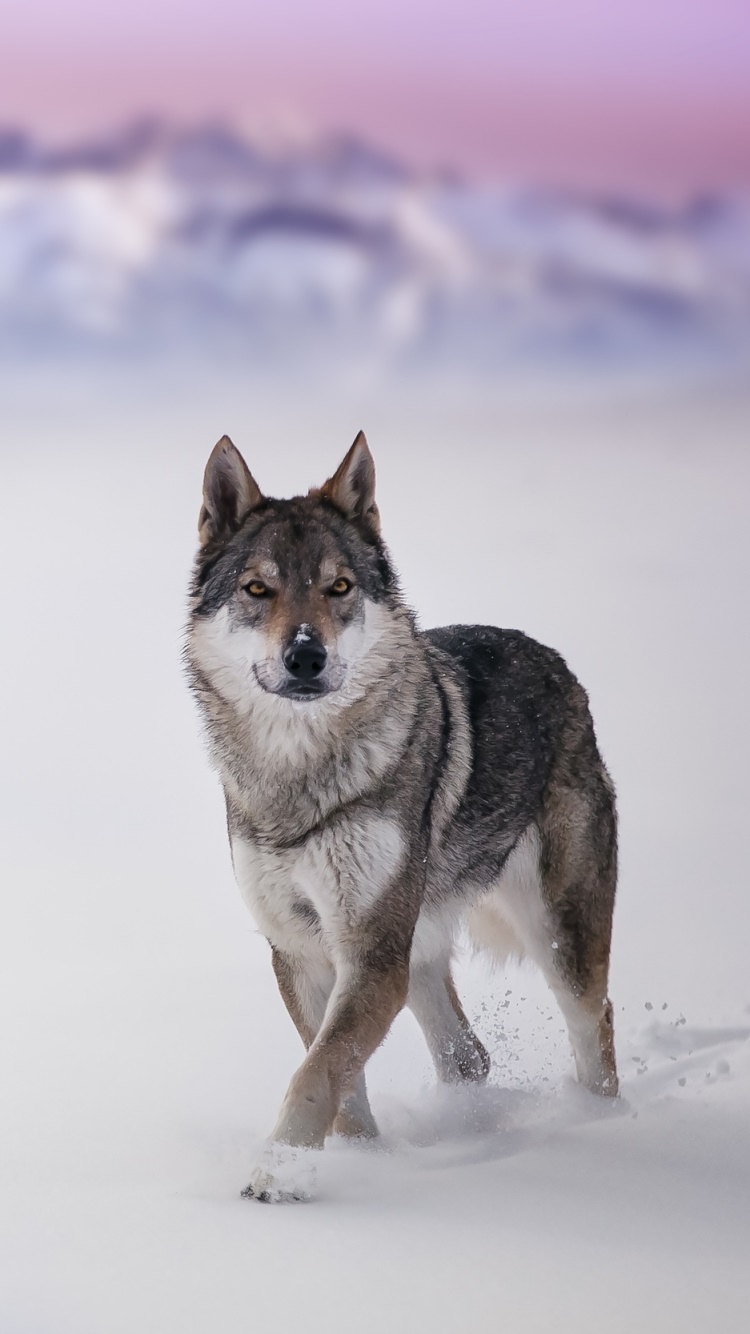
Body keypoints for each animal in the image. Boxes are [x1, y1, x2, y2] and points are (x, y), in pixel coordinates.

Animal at [185, 431, 618, 1200]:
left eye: (339, 588)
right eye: (257, 589)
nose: (305, 656)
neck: (299, 777)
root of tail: (557, 663)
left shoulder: (370, 955)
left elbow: (315, 1074)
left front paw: (275, 1175)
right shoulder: (303, 953)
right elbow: (338, 1079)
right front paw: (359, 1161)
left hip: (553, 939)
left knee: (594, 1023)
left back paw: (601, 1128)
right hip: (417, 951)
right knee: (470, 1056)